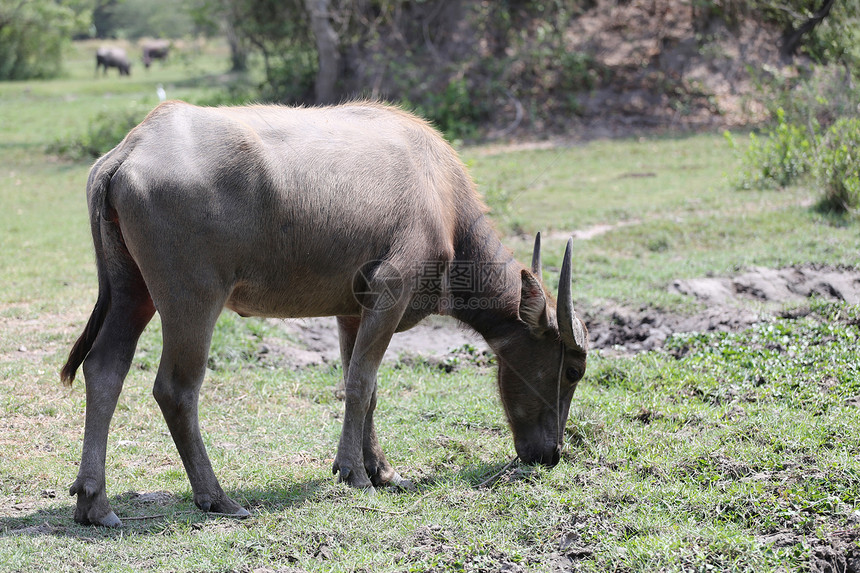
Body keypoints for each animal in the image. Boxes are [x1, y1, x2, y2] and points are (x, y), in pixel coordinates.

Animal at [58, 100, 584, 524]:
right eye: (573, 370)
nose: (551, 454)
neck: (440, 195)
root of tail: (130, 149)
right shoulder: (390, 291)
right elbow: (361, 384)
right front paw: (355, 473)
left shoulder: (353, 311)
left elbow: (365, 387)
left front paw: (380, 468)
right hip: (192, 300)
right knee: (175, 389)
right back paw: (216, 496)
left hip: (132, 291)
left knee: (104, 368)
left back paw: (95, 502)